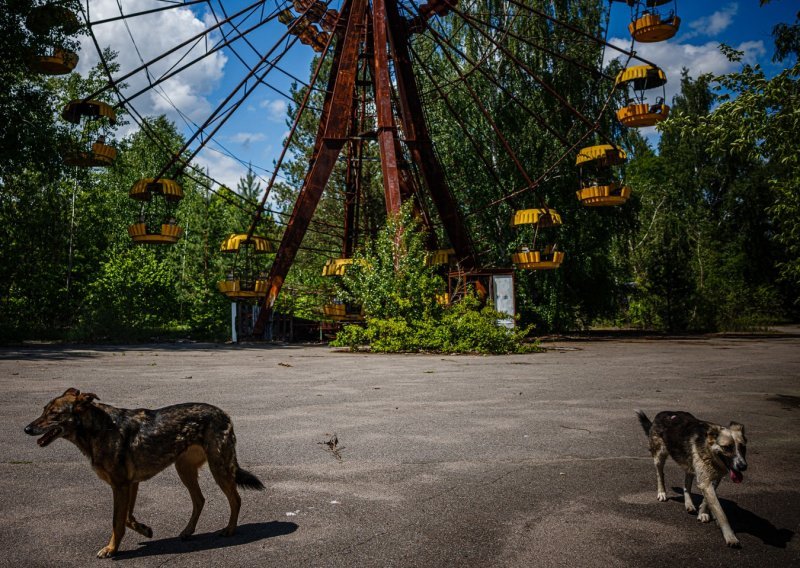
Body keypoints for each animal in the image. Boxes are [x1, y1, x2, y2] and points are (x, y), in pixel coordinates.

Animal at [23, 388, 262, 556]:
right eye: (43, 410)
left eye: (54, 414)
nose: (27, 429)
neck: (98, 429)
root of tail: (224, 414)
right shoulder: (130, 484)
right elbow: (127, 518)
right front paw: (144, 529)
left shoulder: (121, 486)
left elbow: (117, 521)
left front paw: (111, 549)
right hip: (184, 469)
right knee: (200, 500)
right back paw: (188, 531)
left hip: (218, 468)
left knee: (235, 499)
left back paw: (230, 529)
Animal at [636, 410, 748, 548]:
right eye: (727, 447)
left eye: (743, 447)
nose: (743, 466)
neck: (709, 450)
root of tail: (664, 413)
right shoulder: (705, 481)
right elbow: (720, 512)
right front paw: (730, 536)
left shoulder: (713, 479)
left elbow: (707, 500)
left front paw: (703, 512)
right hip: (659, 456)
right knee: (660, 475)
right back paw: (662, 492)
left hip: (689, 463)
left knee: (686, 484)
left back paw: (688, 503)